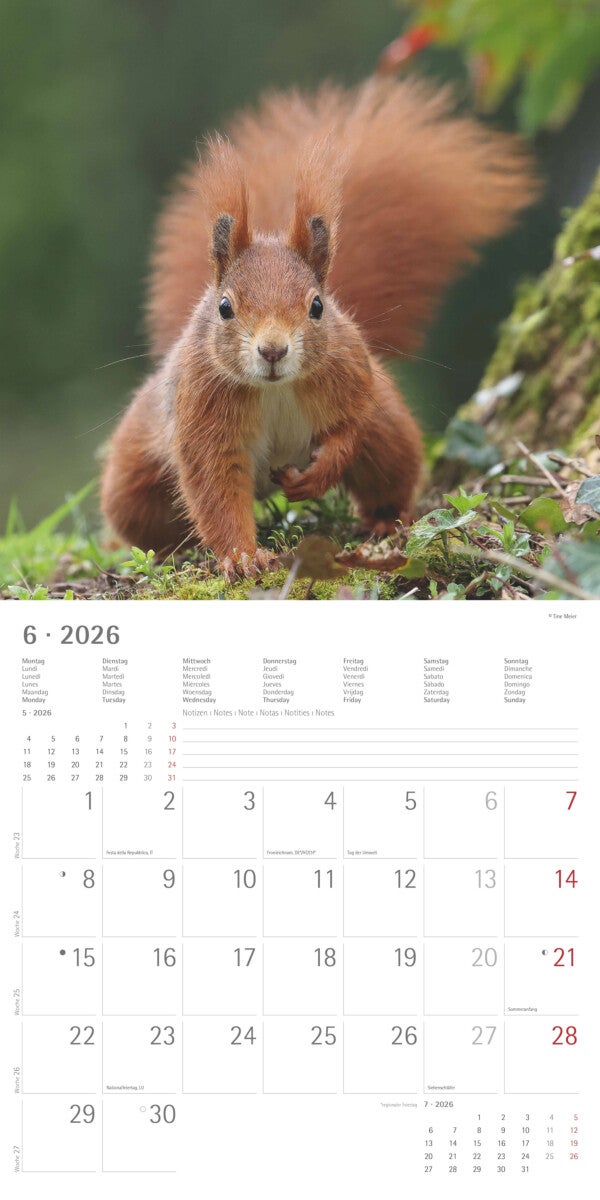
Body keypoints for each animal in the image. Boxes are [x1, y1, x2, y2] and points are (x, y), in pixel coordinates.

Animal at [100, 74, 536, 578]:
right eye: (225, 308)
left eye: (317, 307)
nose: (272, 351)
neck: (274, 389)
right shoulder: (204, 418)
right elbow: (216, 491)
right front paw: (243, 557)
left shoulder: (351, 378)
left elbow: (349, 431)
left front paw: (321, 474)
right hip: (134, 475)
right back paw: (173, 550)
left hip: (390, 429)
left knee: (389, 463)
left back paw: (386, 521)